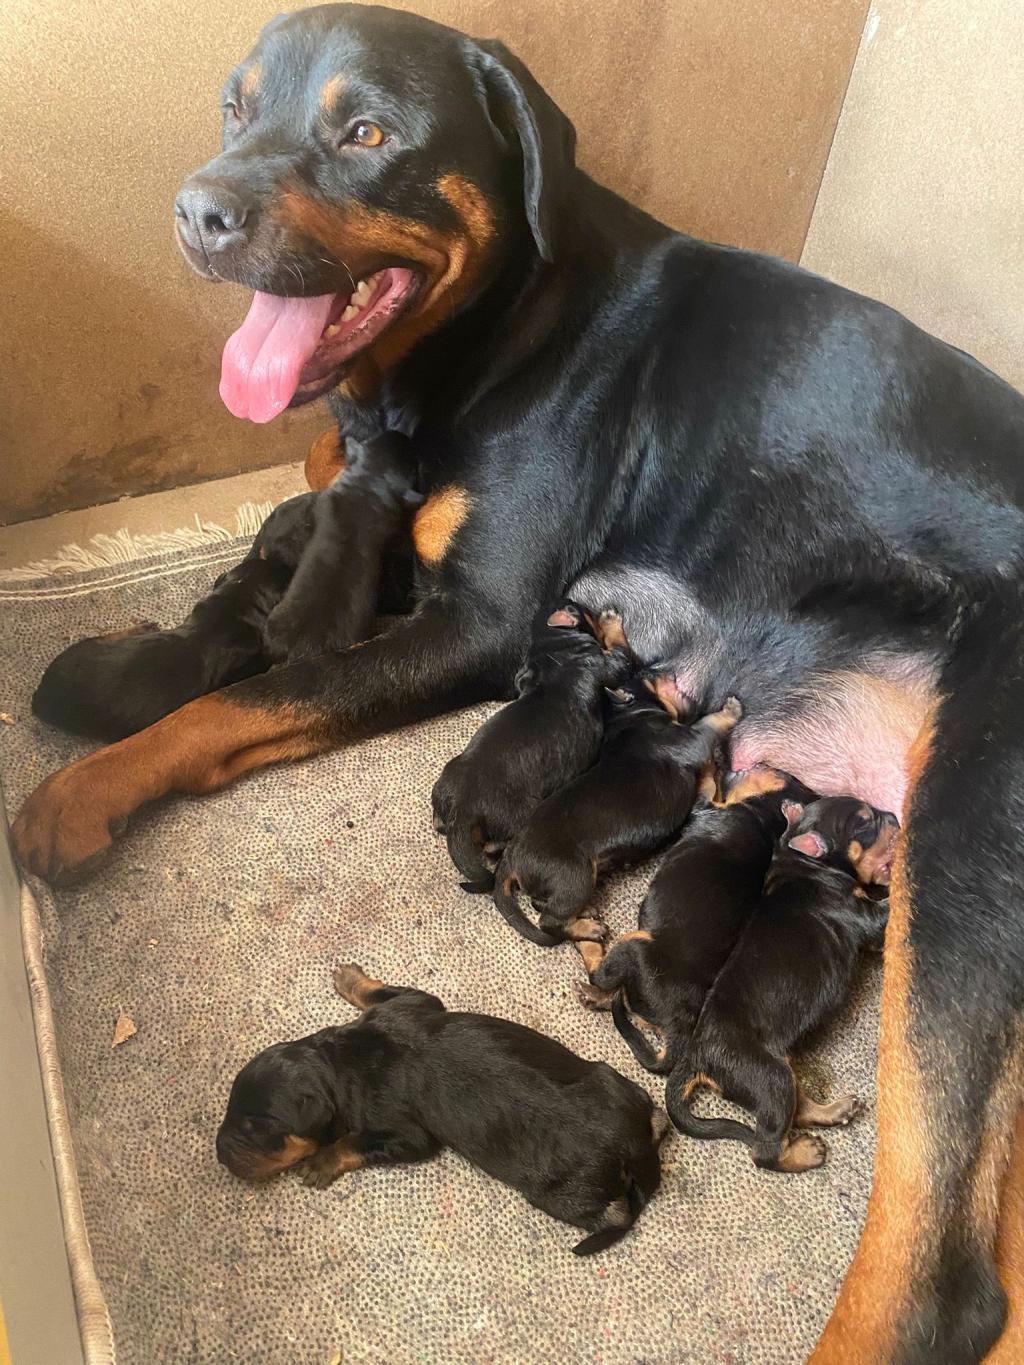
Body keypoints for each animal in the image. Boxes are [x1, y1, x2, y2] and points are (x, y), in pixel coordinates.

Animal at [217, 964, 668, 1256]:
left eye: (260, 1130)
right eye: (231, 1107)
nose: (220, 1154)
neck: (338, 1060)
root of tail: (632, 1146)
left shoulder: (409, 1136)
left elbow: (355, 1142)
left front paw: (322, 1160)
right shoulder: (408, 1002)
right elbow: (377, 991)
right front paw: (348, 977)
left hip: (560, 1192)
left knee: (614, 1215)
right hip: (611, 1079)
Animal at [431, 603, 631, 887]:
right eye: (582, 608)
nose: (598, 609)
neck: (551, 644)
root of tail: (463, 809)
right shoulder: (605, 662)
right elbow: (620, 653)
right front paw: (612, 620)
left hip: (444, 785)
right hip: (521, 812)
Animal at [490, 682, 742, 947]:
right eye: (652, 681)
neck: (628, 716)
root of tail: (511, 854)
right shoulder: (692, 740)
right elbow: (710, 723)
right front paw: (731, 708)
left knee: (541, 903)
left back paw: (585, 911)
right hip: (574, 875)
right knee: (549, 920)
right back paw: (591, 929)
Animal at [582, 766, 818, 1071]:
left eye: (784, 776)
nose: (765, 764)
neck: (766, 819)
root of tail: (679, 1026)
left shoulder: (705, 806)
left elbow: (707, 784)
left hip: (636, 944)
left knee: (602, 975)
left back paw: (588, 950)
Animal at [666, 796, 898, 1172]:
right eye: (865, 822)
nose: (893, 816)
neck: (803, 862)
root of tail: (697, 1057)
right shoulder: (870, 920)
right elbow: (887, 908)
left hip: (781, 1071)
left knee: (799, 1110)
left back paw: (838, 1110)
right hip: (769, 1078)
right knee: (765, 1149)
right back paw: (807, 1153)